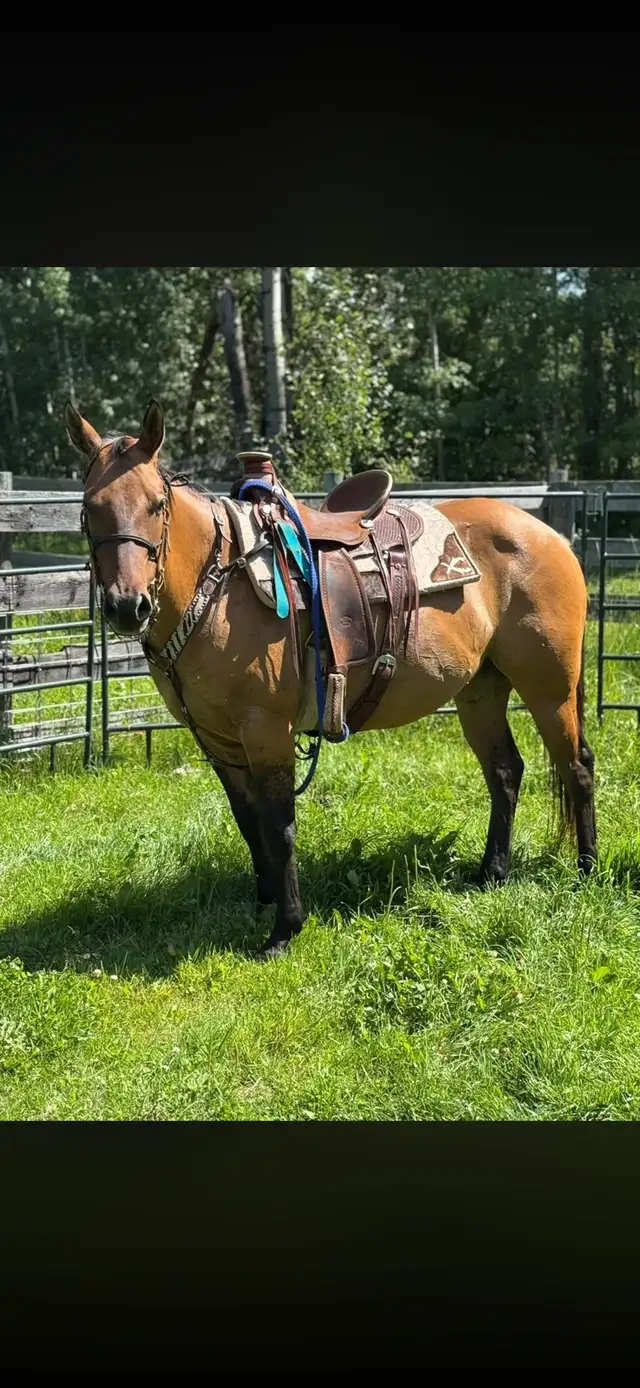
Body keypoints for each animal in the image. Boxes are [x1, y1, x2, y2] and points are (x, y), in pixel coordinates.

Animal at [64, 398, 596, 958]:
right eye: (90, 507)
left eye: (154, 505)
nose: (127, 606)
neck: (219, 586)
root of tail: (551, 535)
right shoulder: (216, 740)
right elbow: (247, 821)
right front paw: (264, 898)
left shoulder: (266, 731)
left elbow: (279, 827)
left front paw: (285, 928)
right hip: (481, 690)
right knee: (505, 771)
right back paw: (491, 873)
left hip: (549, 686)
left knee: (576, 766)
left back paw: (585, 871)